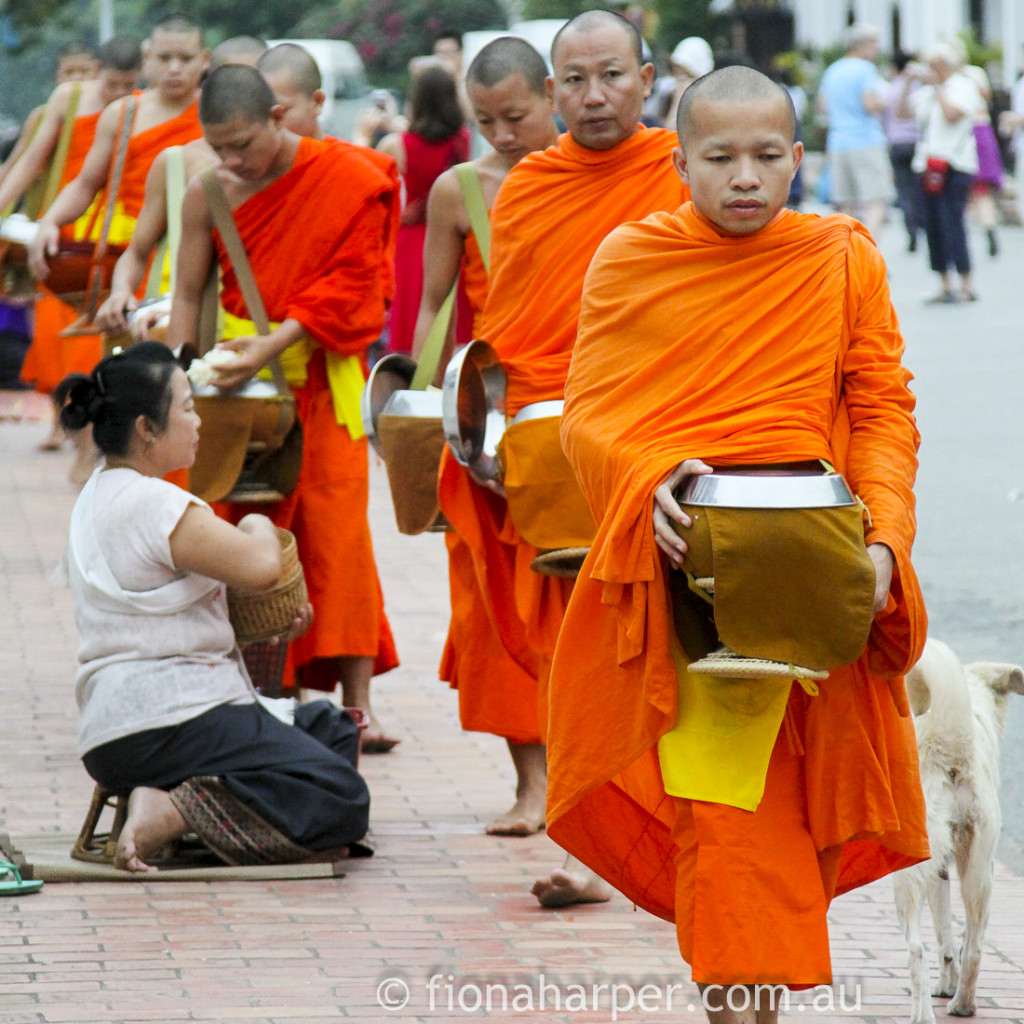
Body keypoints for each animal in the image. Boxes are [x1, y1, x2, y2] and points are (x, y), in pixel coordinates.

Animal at [892, 634, 1019, 1019]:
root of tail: (949, 744)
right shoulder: (956, 869)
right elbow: (956, 941)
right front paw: (950, 985)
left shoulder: (933, 874)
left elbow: (942, 935)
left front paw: (942, 984)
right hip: (980, 871)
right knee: (975, 947)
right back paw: (963, 1004)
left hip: (908, 877)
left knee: (915, 947)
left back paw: (922, 1014)